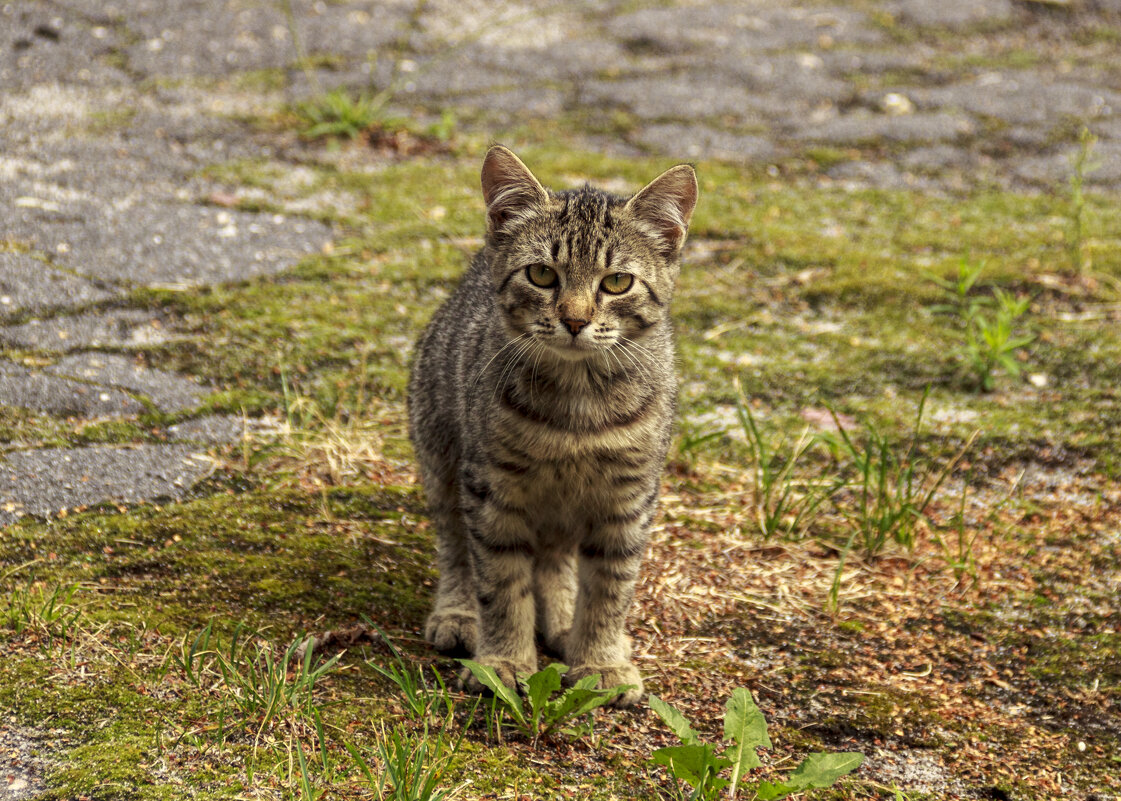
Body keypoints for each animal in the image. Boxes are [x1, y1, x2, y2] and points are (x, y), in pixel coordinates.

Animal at [408, 145, 695, 708]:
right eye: (541, 275)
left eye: (617, 282)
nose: (576, 320)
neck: (577, 406)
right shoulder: (493, 490)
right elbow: (501, 583)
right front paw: (503, 661)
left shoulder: (629, 497)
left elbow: (610, 586)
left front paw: (601, 660)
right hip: (440, 455)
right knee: (455, 547)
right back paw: (459, 613)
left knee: (557, 560)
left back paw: (565, 621)